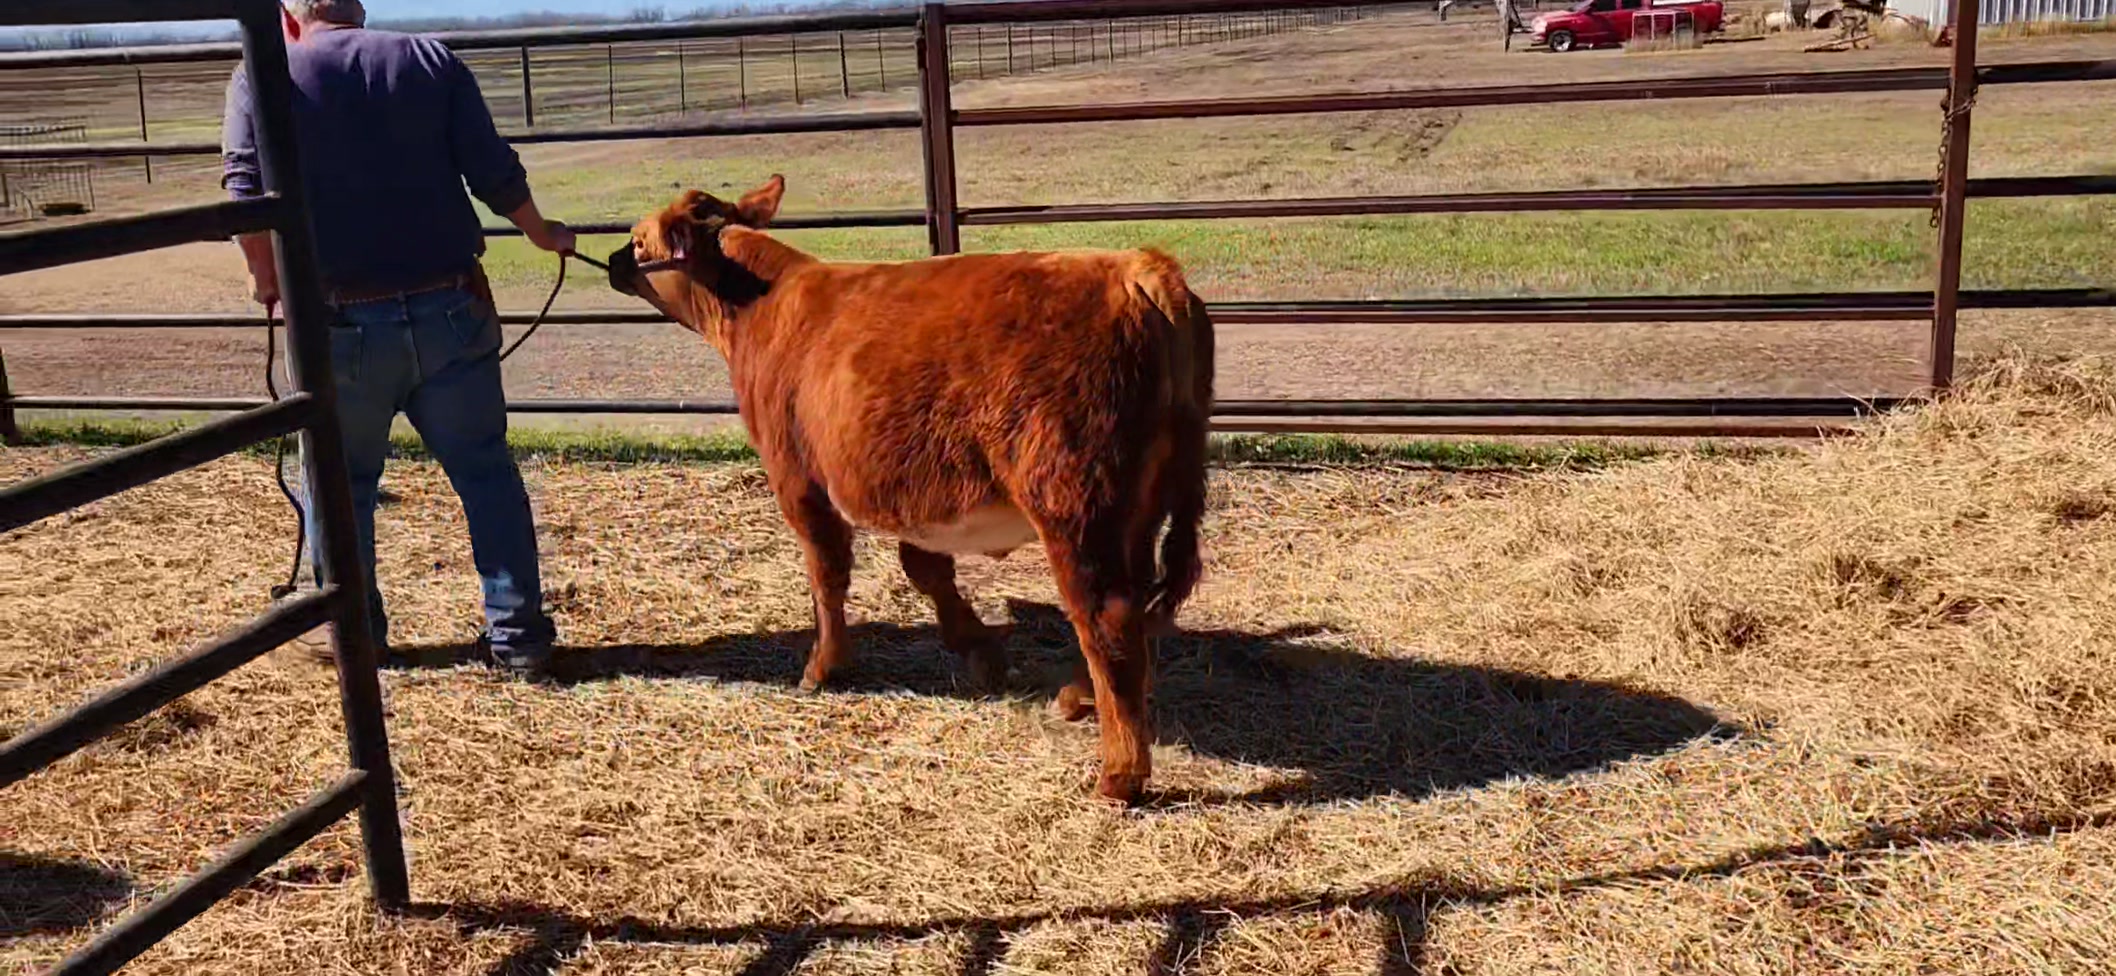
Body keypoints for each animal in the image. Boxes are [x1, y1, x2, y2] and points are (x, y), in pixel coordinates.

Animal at [604, 176, 1216, 805]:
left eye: (640, 238)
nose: (612, 259)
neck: (759, 304)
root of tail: (1138, 268)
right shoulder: (917, 495)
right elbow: (924, 568)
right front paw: (978, 647)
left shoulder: (798, 480)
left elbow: (828, 576)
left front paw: (823, 668)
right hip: (1141, 509)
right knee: (1137, 605)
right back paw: (1079, 697)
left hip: (1075, 508)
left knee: (1107, 620)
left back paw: (1119, 774)